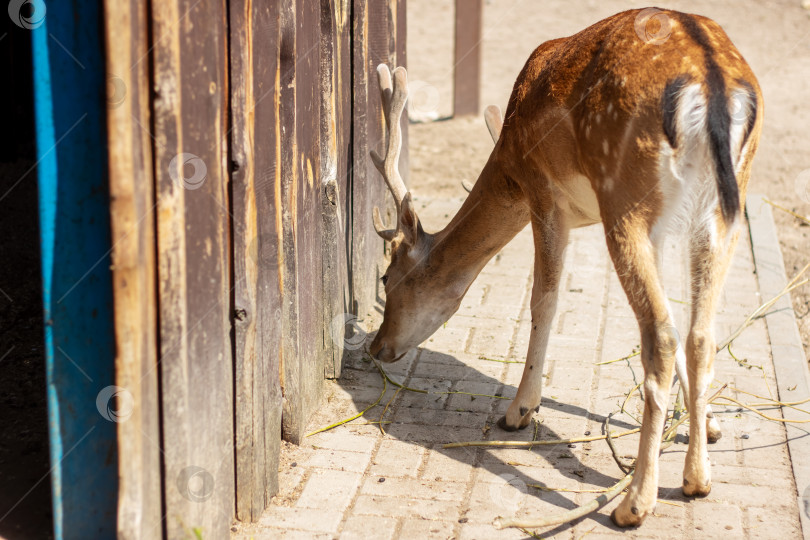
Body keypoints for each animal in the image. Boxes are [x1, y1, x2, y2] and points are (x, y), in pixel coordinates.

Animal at [366, 8, 756, 528]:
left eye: (386, 279)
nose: (376, 346)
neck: (508, 161)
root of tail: (710, 81)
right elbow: (680, 316)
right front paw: (710, 426)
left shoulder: (544, 194)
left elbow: (543, 300)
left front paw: (518, 411)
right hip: (724, 207)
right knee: (699, 332)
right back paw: (697, 479)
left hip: (626, 197)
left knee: (660, 334)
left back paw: (634, 502)